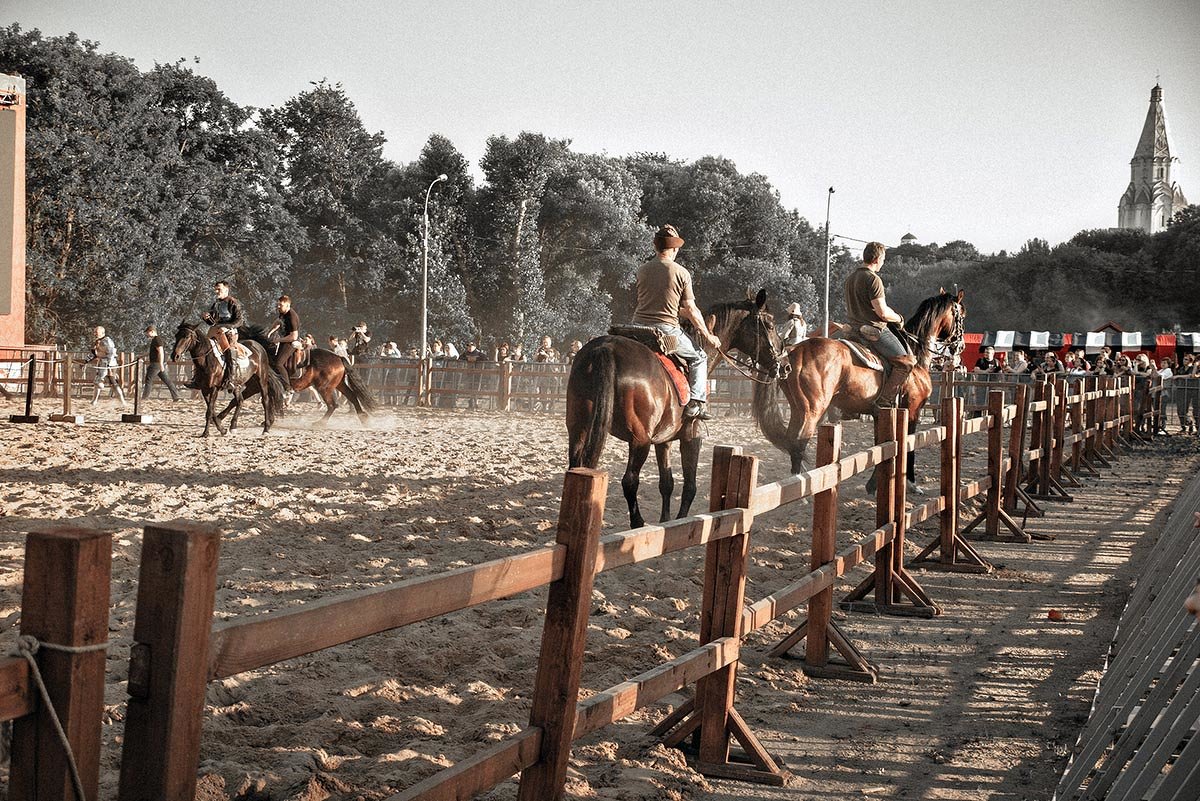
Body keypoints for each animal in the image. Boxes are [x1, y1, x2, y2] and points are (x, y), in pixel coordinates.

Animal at [237, 323, 376, 429]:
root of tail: (339, 357)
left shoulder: (256, 387)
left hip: (324, 387)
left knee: (333, 404)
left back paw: (320, 423)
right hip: (339, 384)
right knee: (352, 396)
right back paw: (363, 418)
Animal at [568, 288, 792, 532]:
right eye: (770, 325)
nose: (785, 365)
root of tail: (605, 349)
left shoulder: (663, 440)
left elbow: (667, 483)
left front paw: (665, 520)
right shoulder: (692, 437)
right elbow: (690, 486)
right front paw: (680, 522)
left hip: (578, 429)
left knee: (576, 467)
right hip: (639, 440)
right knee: (630, 480)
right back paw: (637, 523)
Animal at [753, 288, 969, 489]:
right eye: (961, 315)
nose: (961, 347)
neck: (915, 354)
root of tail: (794, 350)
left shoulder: (881, 413)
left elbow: (881, 445)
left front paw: (874, 484)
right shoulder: (913, 409)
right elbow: (910, 444)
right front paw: (911, 482)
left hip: (799, 408)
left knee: (792, 442)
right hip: (812, 410)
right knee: (798, 443)